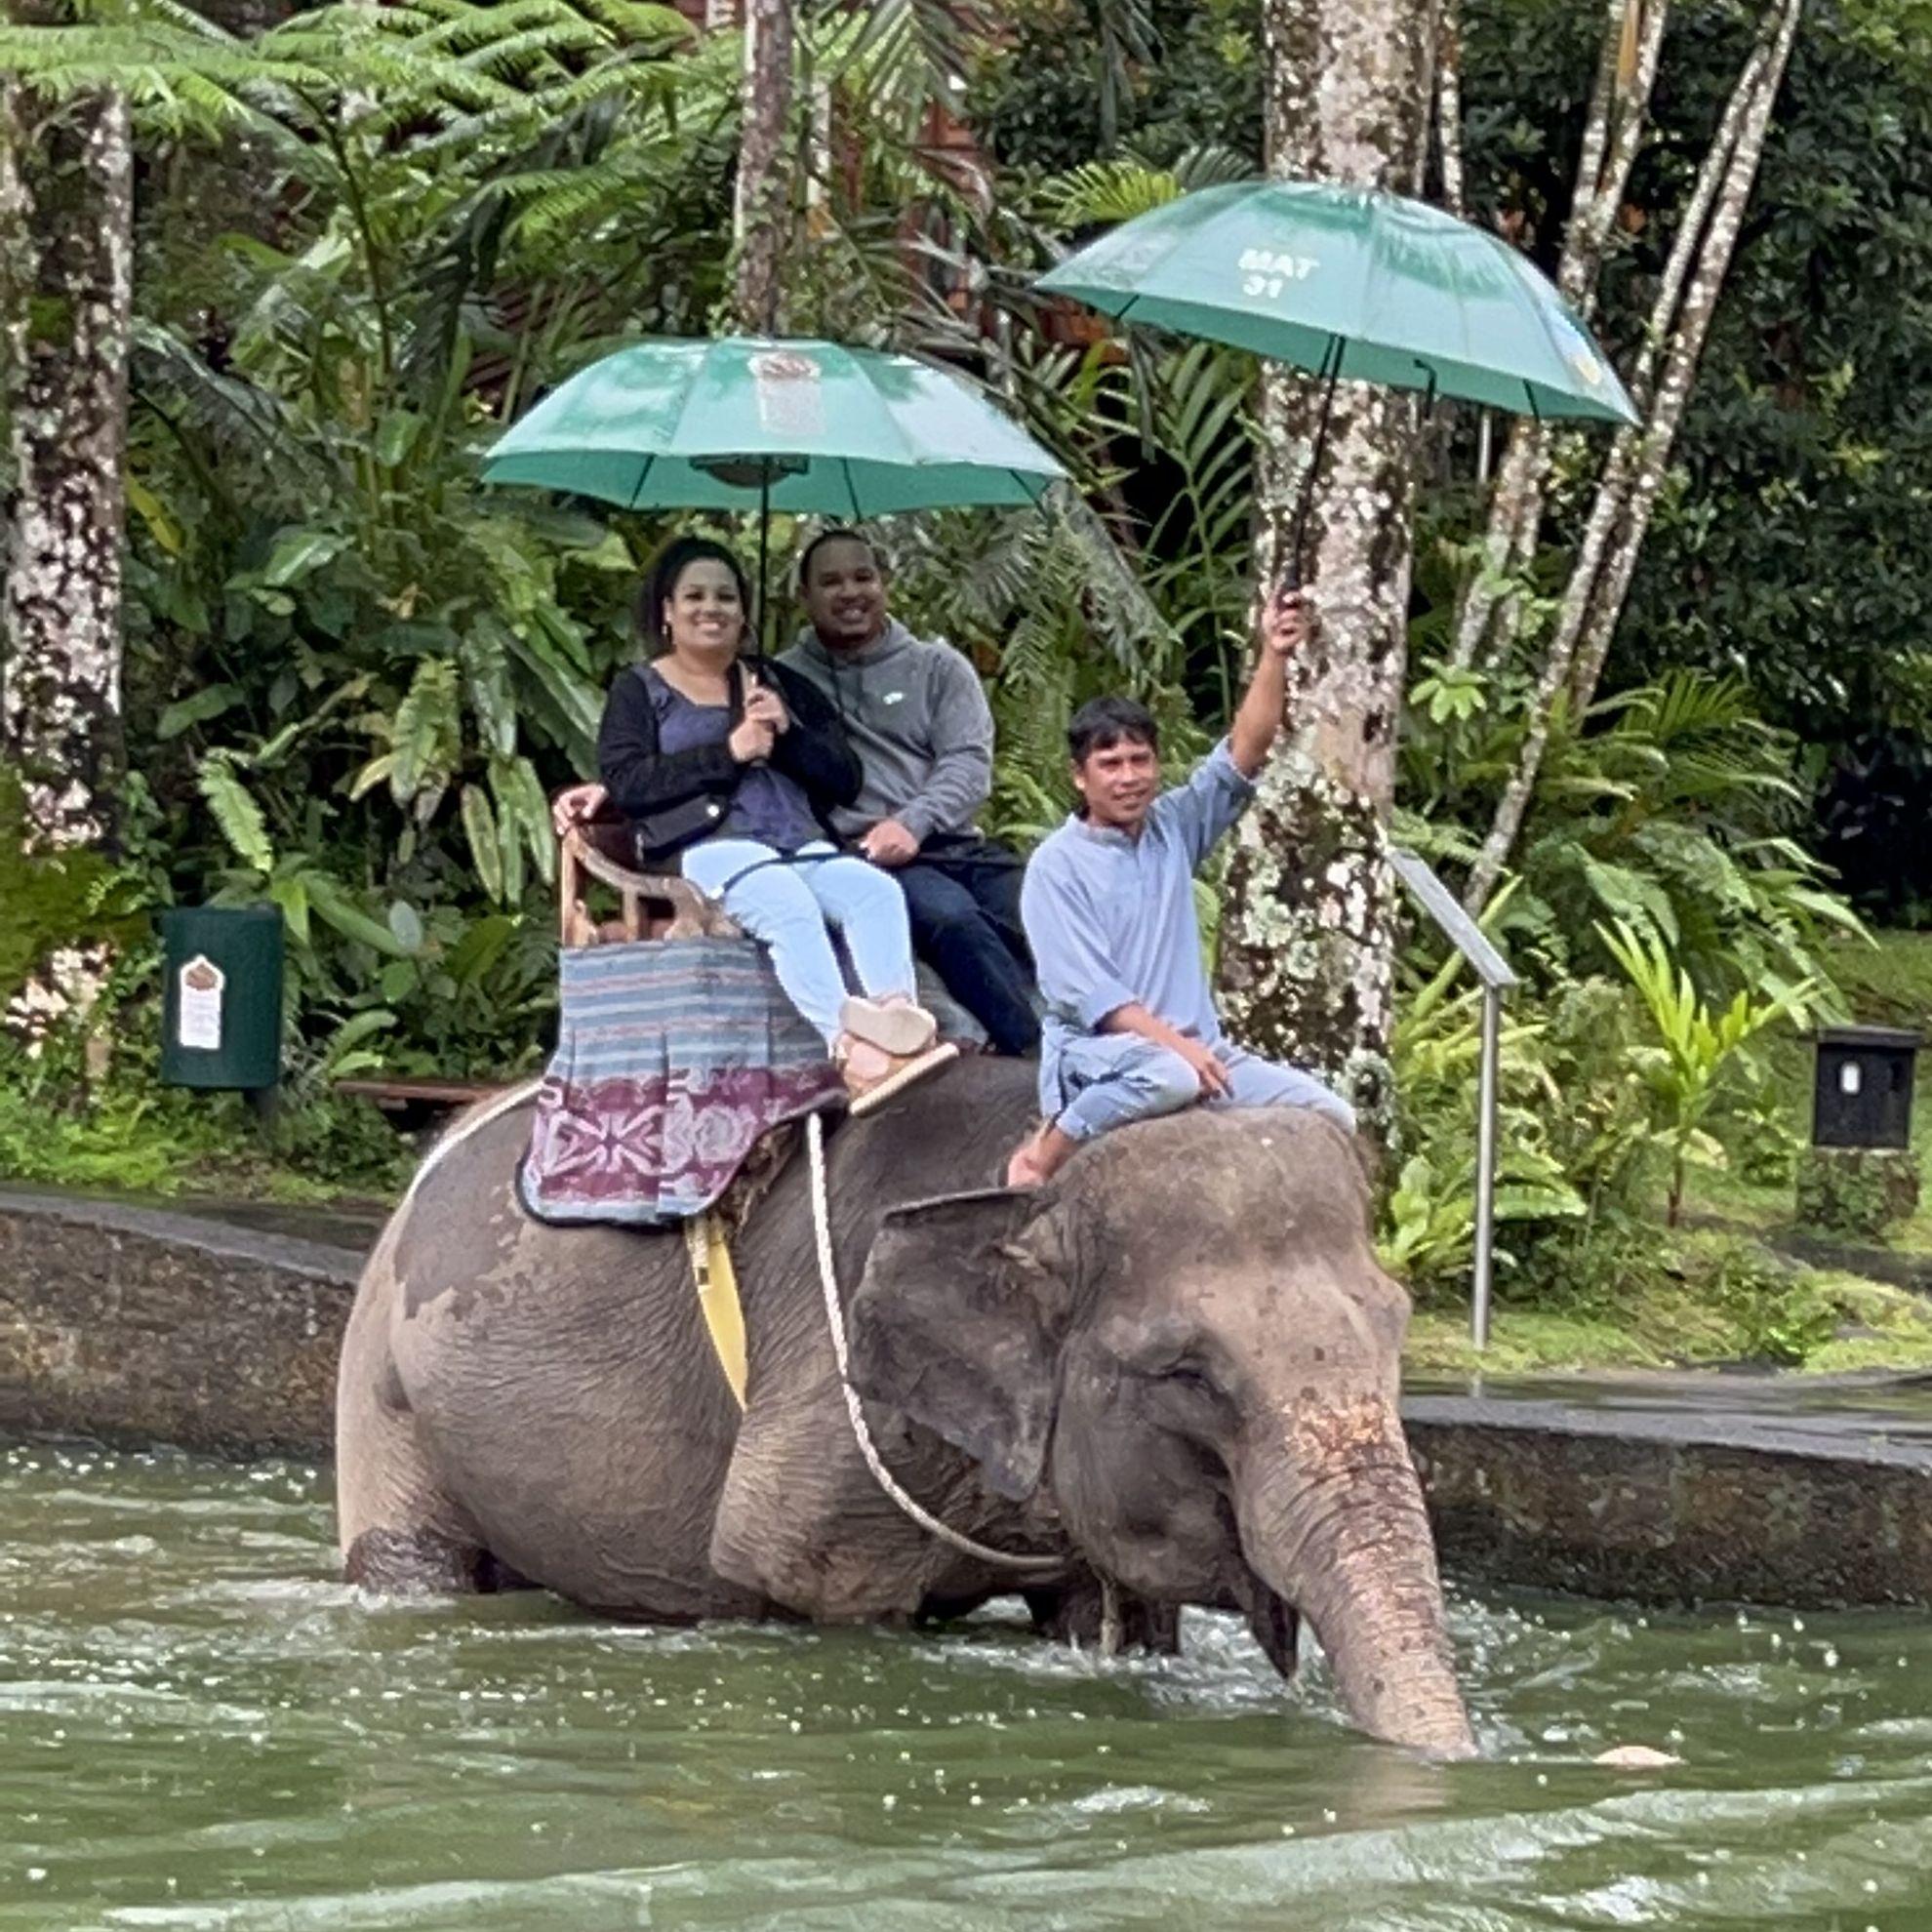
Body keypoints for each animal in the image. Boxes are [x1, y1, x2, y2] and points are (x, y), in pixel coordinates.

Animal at [335, 1055, 1474, 1756]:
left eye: (1397, 1326)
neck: (1029, 1180)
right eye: (1188, 1373)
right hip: (381, 1377)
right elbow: (799, 1578)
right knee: (411, 1558)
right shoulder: (829, 1414)